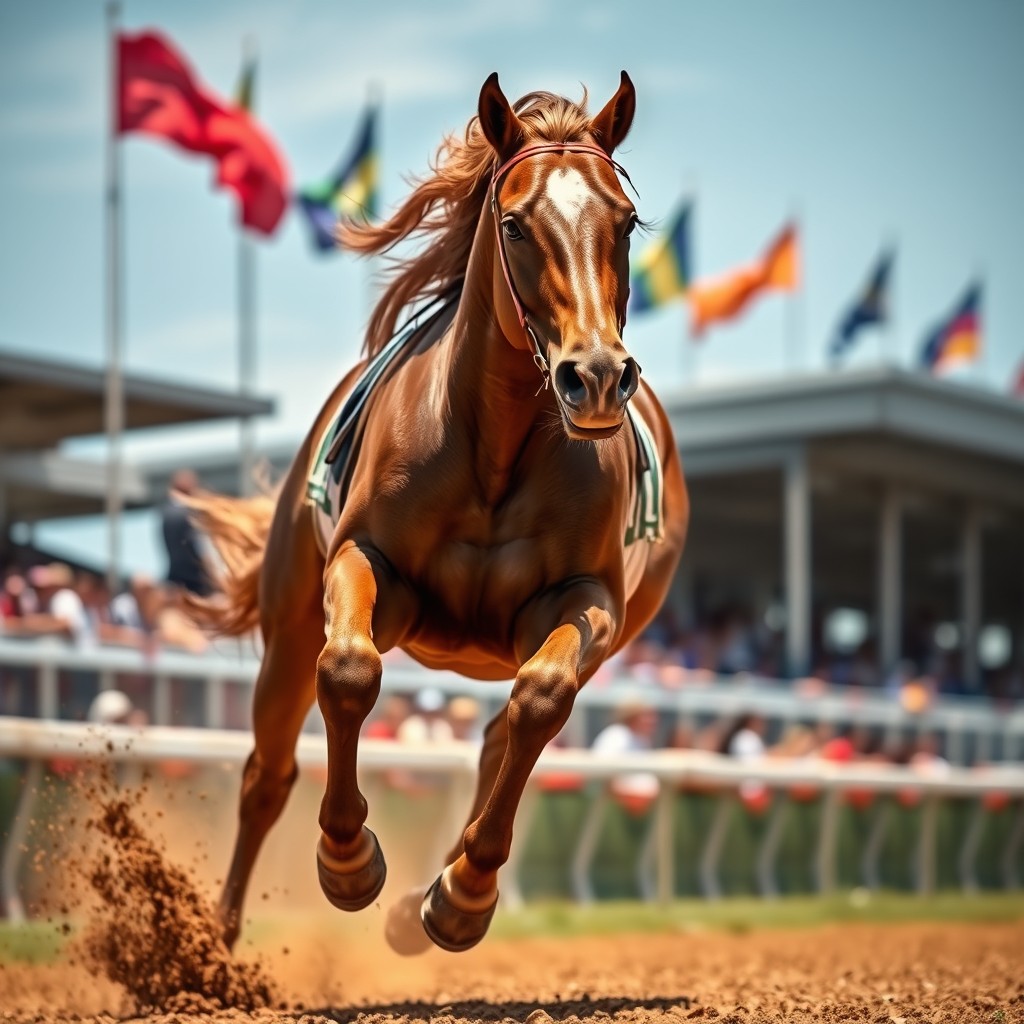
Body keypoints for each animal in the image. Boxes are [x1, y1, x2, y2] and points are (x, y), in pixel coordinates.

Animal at [187, 70, 688, 955]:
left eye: (626, 221)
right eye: (516, 223)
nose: (596, 376)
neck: (495, 447)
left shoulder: (588, 601)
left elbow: (539, 701)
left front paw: (461, 896)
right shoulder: (368, 570)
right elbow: (350, 671)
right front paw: (348, 862)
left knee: (500, 734)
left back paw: (432, 898)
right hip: (290, 620)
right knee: (267, 772)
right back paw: (214, 945)